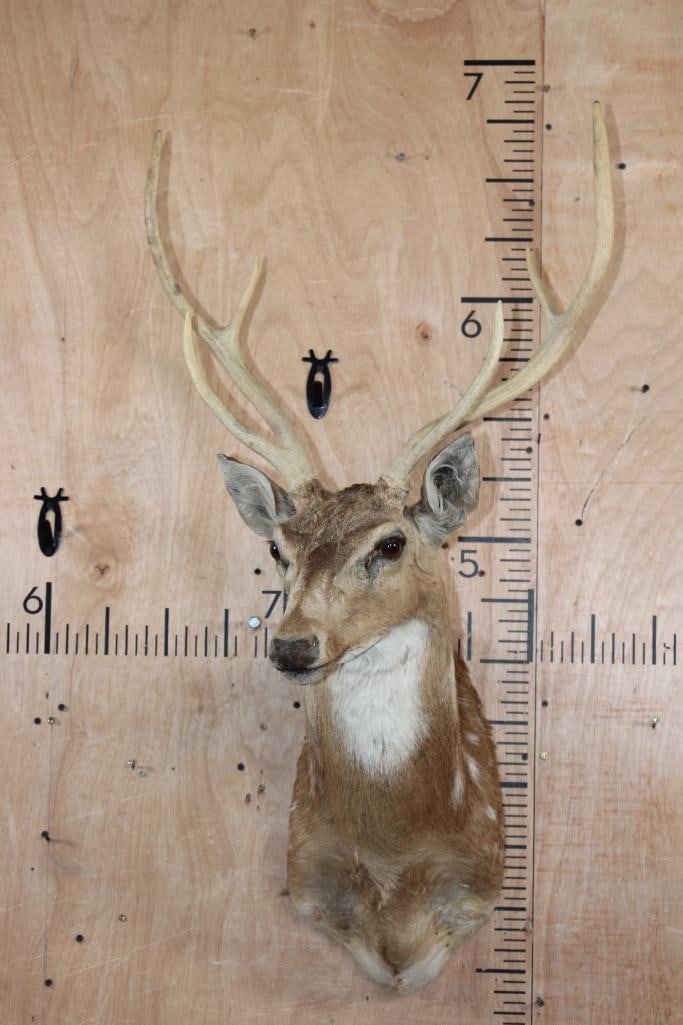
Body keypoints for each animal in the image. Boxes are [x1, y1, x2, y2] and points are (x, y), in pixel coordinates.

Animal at [145, 103, 614, 993]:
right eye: (278, 550)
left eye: (390, 542)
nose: (293, 645)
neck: (396, 854)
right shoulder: (309, 879)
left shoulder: (479, 878)